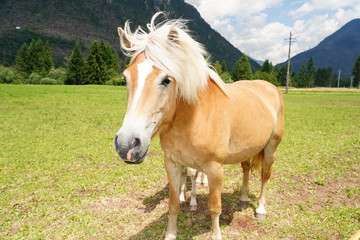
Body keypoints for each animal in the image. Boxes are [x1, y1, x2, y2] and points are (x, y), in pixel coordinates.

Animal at [114, 12, 282, 240]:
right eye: (126, 78)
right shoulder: (173, 164)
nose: (127, 145)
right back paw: (244, 199)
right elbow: (174, 204)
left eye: (166, 80)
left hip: (271, 145)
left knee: (265, 174)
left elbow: (214, 207)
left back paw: (260, 209)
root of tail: (269, 87)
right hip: (247, 148)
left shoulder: (214, 169)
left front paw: (216, 235)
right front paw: (171, 234)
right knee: (246, 169)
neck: (192, 119)